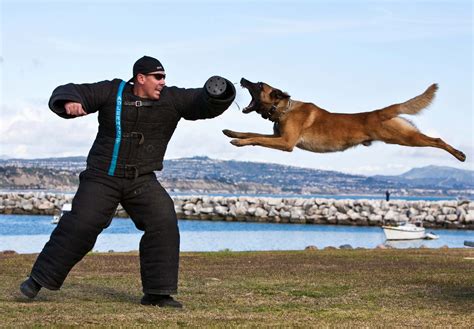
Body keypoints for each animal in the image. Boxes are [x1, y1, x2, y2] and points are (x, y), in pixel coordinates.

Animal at [223, 79, 466, 162]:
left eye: (259, 85)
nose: (242, 78)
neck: (284, 109)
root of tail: (381, 111)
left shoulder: (286, 143)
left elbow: (256, 139)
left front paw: (239, 142)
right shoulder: (279, 137)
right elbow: (251, 133)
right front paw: (232, 134)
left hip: (405, 138)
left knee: (436, 140)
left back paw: (459, 154)